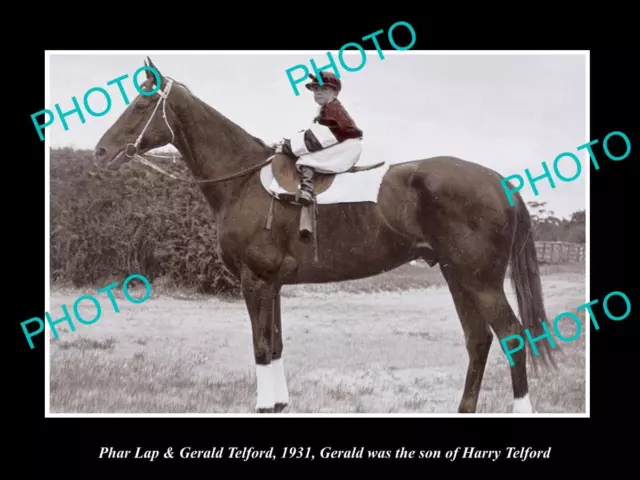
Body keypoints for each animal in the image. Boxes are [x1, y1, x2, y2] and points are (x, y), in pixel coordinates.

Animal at [92, 56, 556, 414]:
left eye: (140, 104)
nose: (100, 151)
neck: (243, 180)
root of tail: (499, 181)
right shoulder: (273, 284)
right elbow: (276, 344)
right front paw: (280, 403)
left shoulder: (255, 281)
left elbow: (261, 346)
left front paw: (264, 405)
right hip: (457, 276)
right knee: (479, 340)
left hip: (481, 281)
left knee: (512, 336)